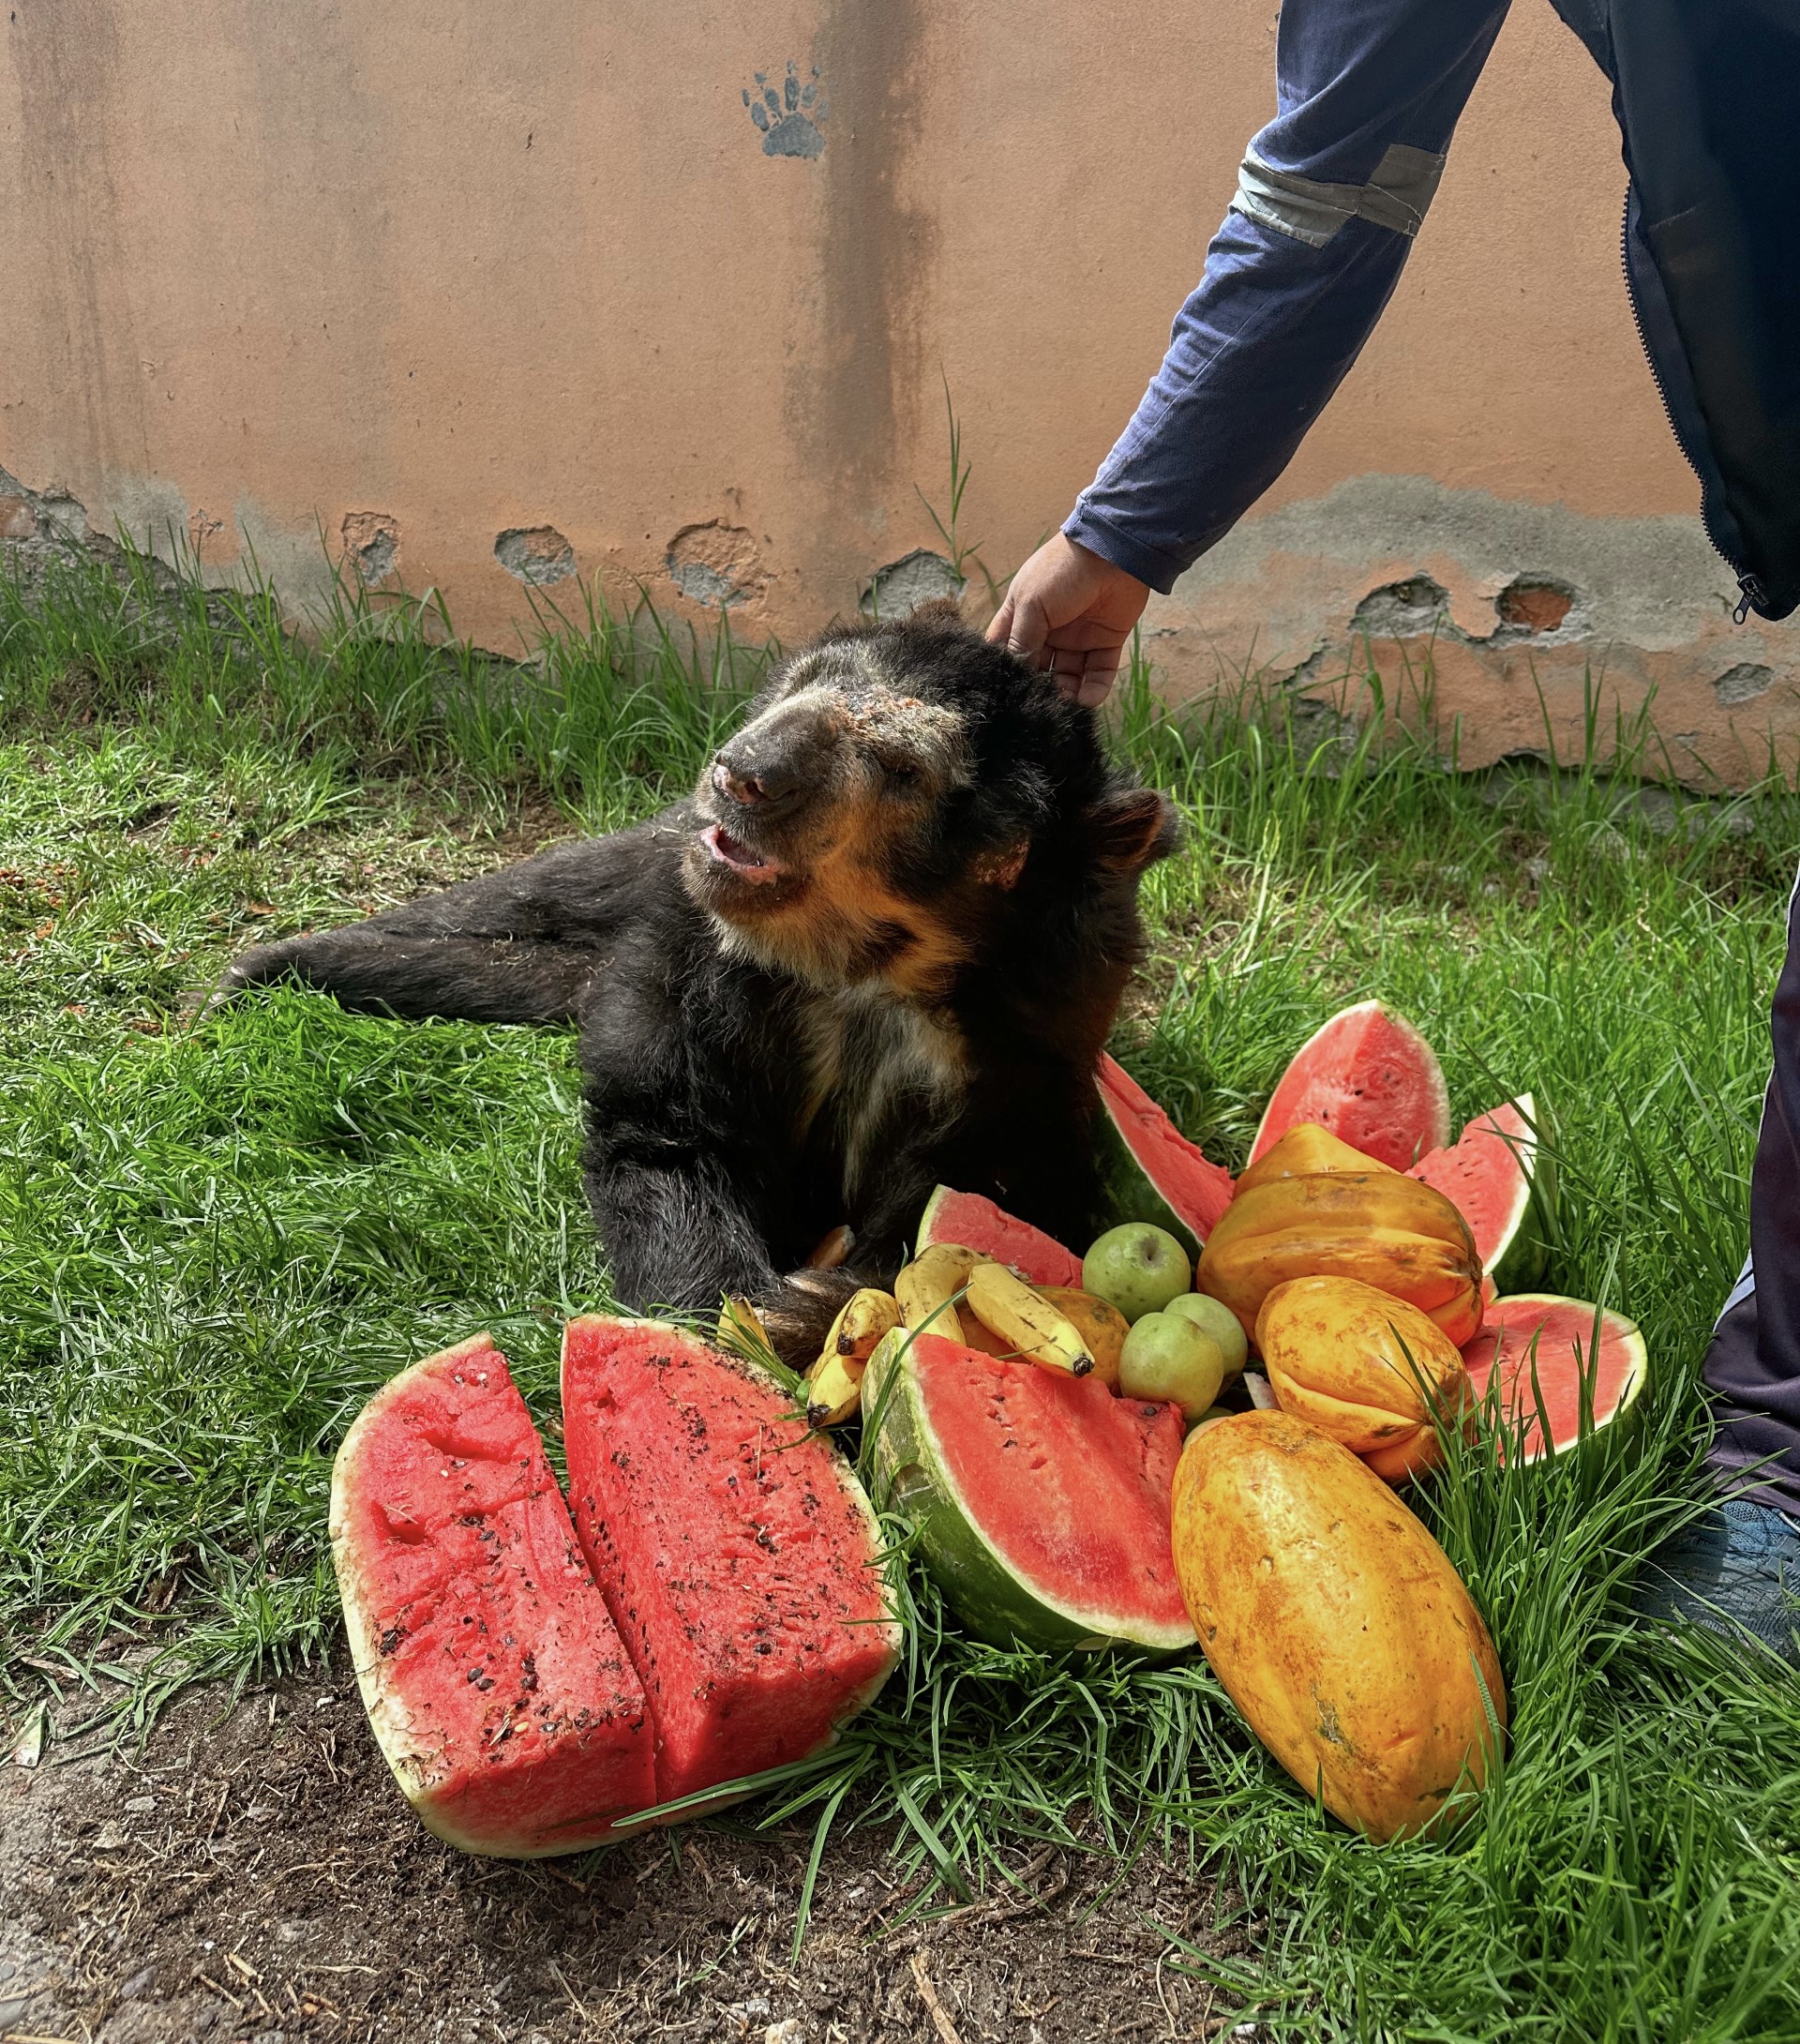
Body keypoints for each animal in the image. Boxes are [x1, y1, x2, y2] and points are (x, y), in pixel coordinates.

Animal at [214, 604, 1177, 1365]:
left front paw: (814, 1302)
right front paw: (746, 1317)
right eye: (805, 681)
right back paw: (262, 971)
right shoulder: (694, 954)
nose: (744, 771)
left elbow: (994, 1202)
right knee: (533, 895)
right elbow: (667, 1137)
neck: (860, 970)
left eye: (904, 769)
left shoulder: (1034, 1043)